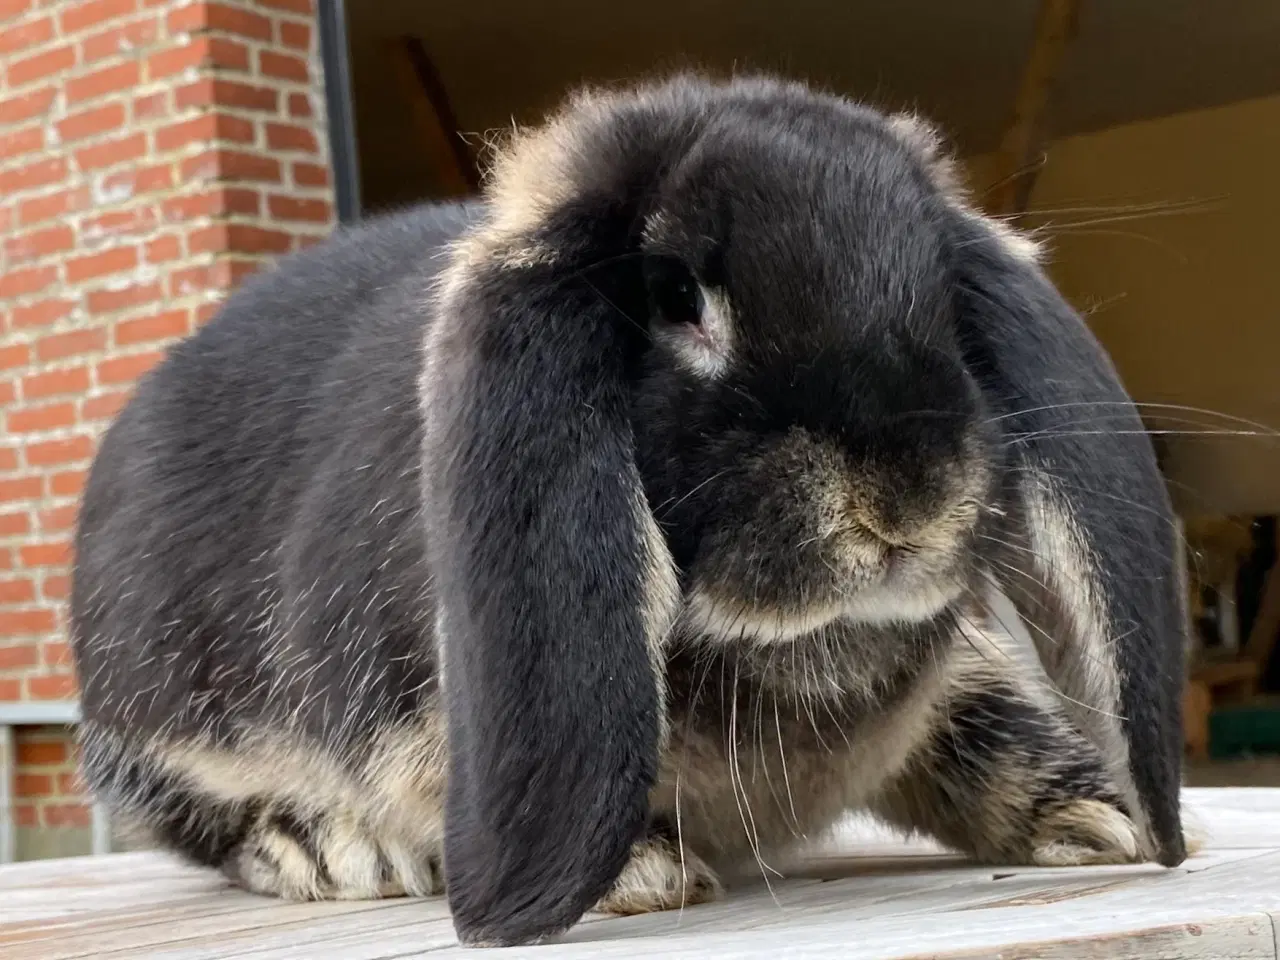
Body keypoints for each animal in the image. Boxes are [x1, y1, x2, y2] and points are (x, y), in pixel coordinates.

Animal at [72, 71, 1187, 952]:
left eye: (942, 298)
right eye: (677, 298)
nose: (903, 499)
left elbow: (985, 725)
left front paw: (1101, 821)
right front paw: (640, 875)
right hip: (163, 726)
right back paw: (330, 850)